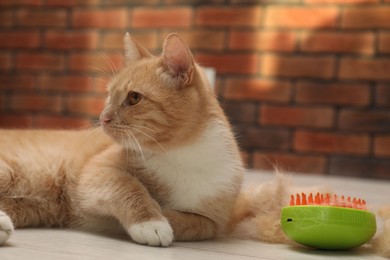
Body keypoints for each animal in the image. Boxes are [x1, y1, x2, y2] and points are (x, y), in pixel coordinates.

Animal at [0, 33, 244, 247]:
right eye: (110, 95)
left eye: (134, 98)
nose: (103, 117)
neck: (181, 154)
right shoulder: (97, 171)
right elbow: (129, 186)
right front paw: (152, 221)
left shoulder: (214, 221)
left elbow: (197, 224)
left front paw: (165, 217)